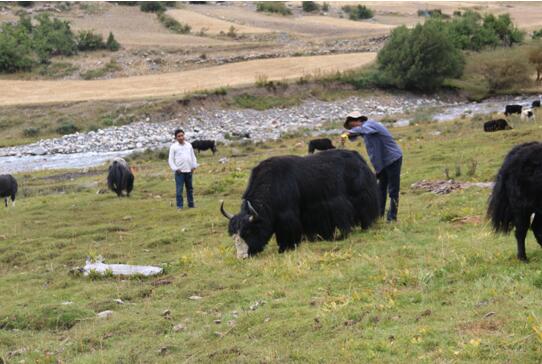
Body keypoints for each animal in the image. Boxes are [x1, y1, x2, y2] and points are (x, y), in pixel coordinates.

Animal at [219, 149, 380, 258]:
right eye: (233, 235)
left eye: (248, 232)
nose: (242, 257)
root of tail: (358, 158)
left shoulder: (287, 215)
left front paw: (285, 248)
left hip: (359, 197)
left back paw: (358, 230)